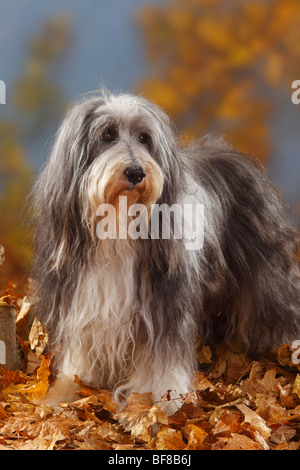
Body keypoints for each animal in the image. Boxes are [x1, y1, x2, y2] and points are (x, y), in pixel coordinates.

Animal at [30, 90, 300, 410]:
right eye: (107, 135)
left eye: (144, 138)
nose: (136, 172)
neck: (119, 226)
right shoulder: (82, 297)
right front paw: (71, 389)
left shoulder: (163, 304)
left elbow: (162, 358)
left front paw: (162, 400)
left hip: (265, 278)